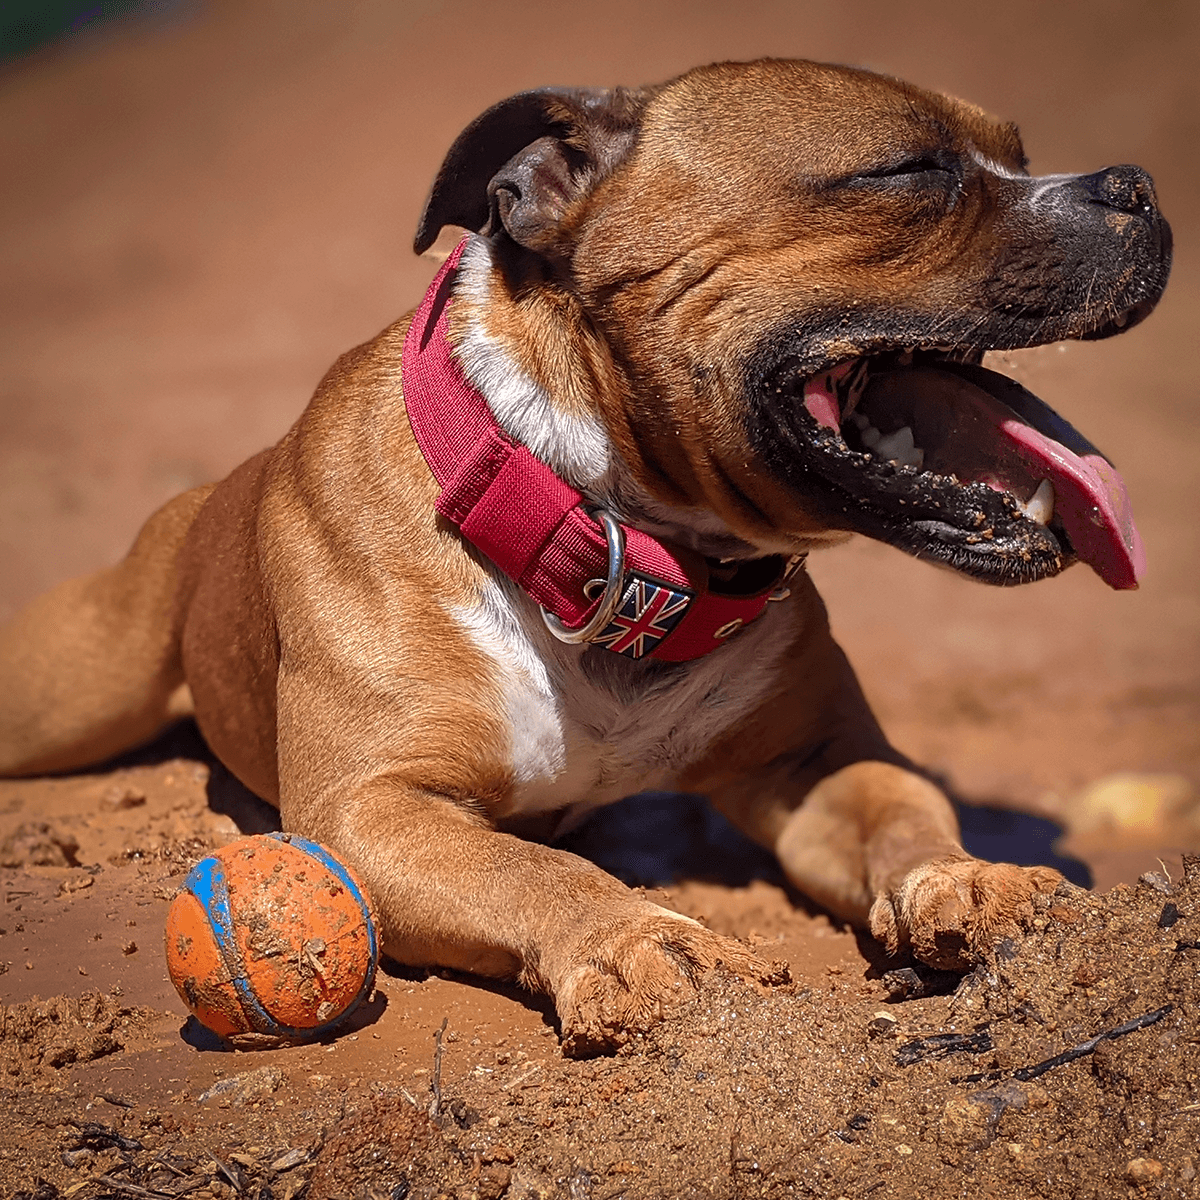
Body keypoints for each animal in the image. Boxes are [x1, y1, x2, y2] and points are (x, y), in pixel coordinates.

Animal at [0, 58, 1166, 1051]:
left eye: (1015, 147)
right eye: (907, 171)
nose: (1142, 185)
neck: (610, 548)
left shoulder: (820, 762)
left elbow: (906, 813)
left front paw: (969, 878)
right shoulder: (368, 810)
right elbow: (529, 870)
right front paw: (639, 938)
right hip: (78, 690)